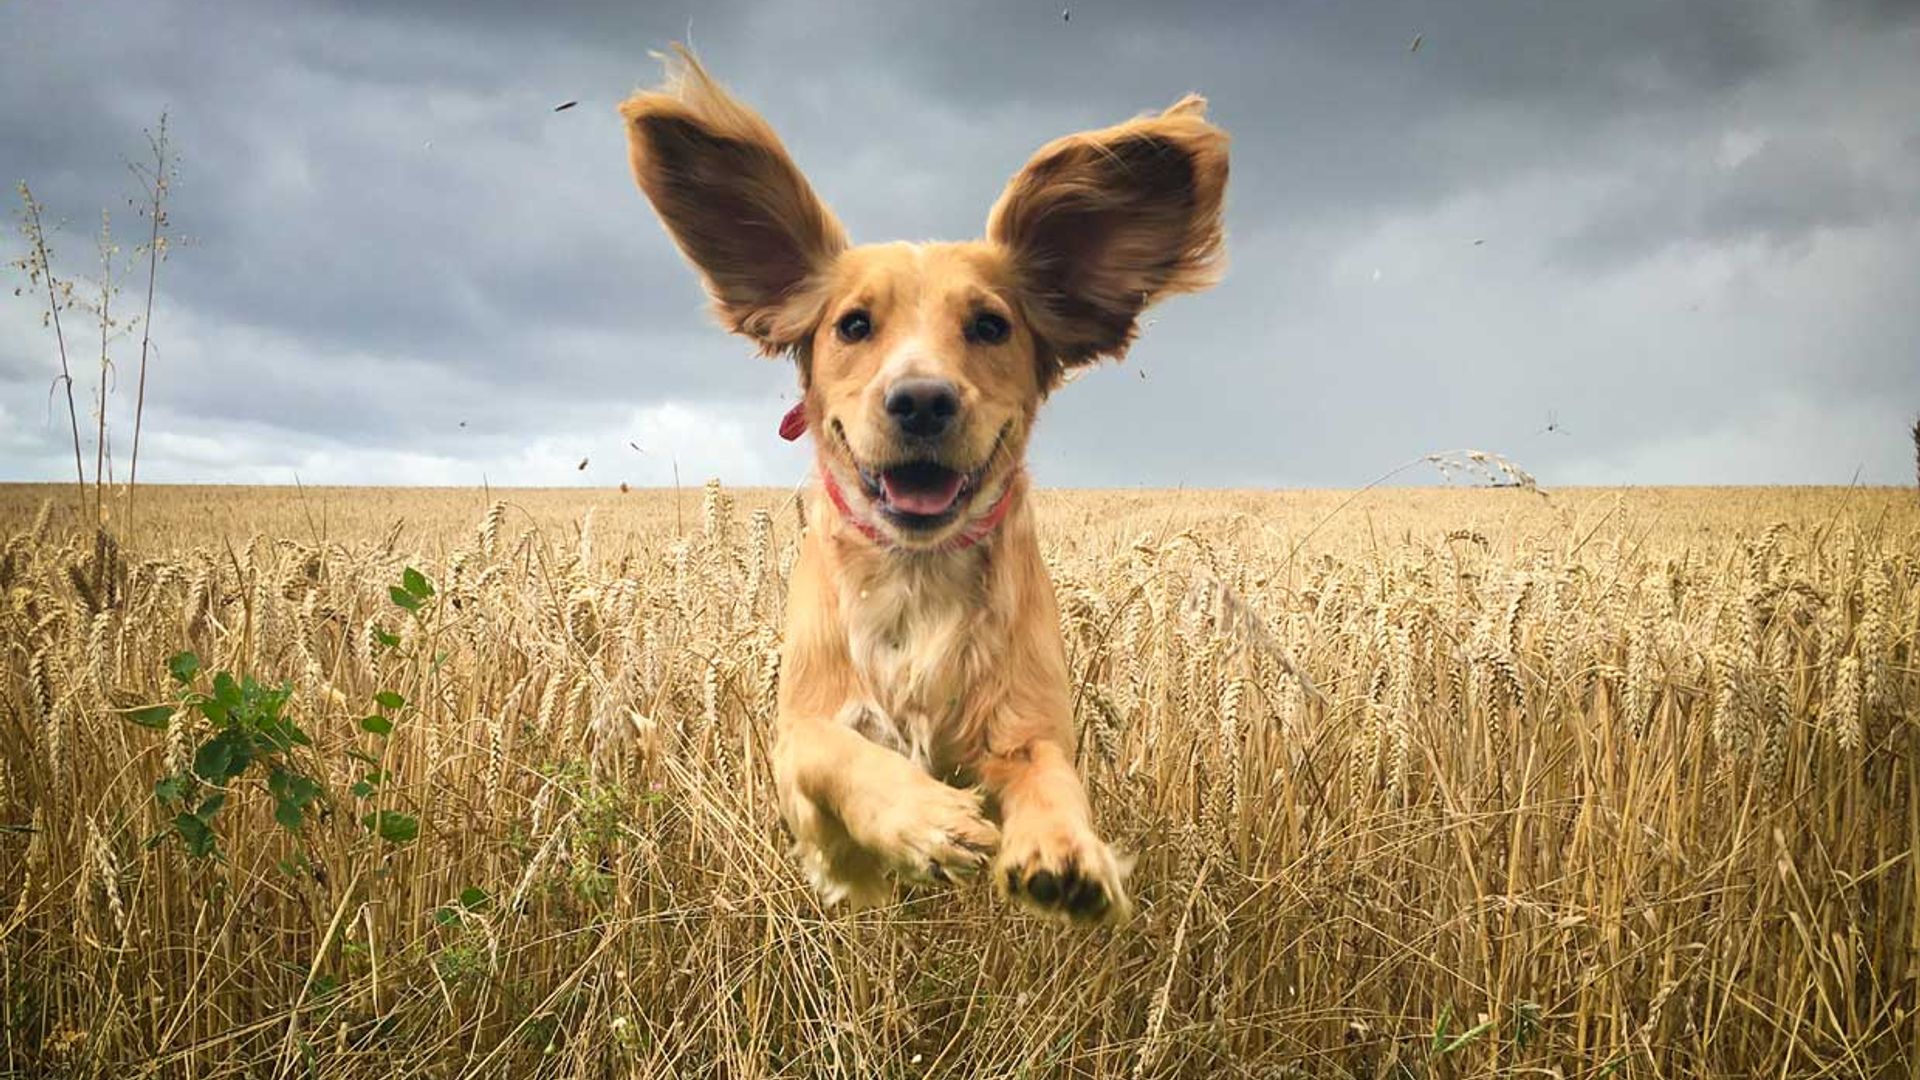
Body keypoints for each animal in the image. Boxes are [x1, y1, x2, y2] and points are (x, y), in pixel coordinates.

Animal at [622, 44, 1236, 914]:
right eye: (853, 325)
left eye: (990, 325)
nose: (921, 400)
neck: (916, 579)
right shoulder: (797, 741)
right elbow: (837, 752)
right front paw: (926, 822)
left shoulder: (1029, 724)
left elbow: (1052, 779)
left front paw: (1064, 852)